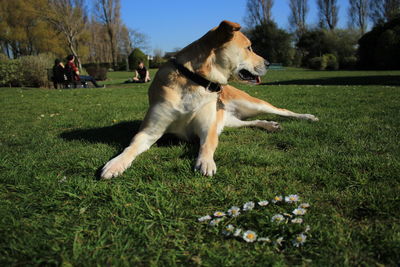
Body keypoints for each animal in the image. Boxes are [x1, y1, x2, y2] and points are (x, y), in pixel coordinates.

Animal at [101, 21, 318, 180]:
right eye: (248, 48)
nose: (268, 63)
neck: (194, 80)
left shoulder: (208, 127)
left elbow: (207, 145)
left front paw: (205, 162)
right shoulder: (150, 131)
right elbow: (131, 146)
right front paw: (115, 163)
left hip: (252, 103)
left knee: (284, 111)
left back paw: (307, 117)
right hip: (229, 120)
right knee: (251, 121)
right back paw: (270, 125)